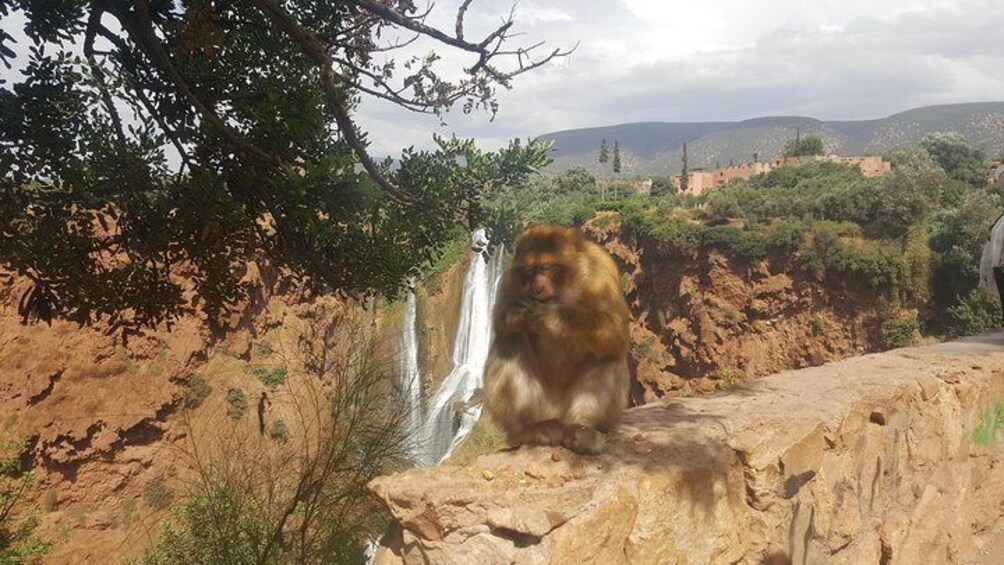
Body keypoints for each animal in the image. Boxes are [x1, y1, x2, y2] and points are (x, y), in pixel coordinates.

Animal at [483, 225, 630, 455]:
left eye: (546, 268)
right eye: (529, 271)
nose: (536, 288)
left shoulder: (601, 271)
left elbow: (617, 330)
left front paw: (552, 317)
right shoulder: (509, 279)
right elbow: (503, 326)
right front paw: (513, 314)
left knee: (608, 352)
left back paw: (583, 429)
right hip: (542, 408)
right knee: (510, 341)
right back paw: (531, 429)